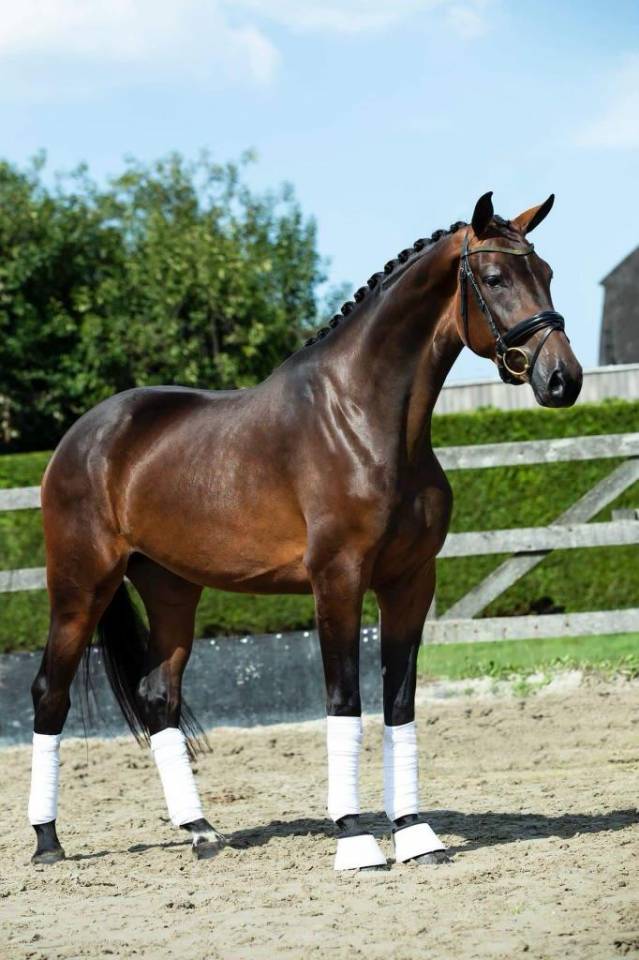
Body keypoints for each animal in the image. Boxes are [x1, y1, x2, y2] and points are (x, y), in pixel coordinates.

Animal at [27, 191, 582, 871]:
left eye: (547, 272)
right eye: (497, 277)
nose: (562, 379)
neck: (362, 419)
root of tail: (81, 437)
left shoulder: (410, 582)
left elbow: (400, 703)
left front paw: (415, 834)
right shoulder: (337, 581)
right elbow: (344, 701)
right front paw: (355, 839)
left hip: (172, 589)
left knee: (159, 692)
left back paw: (201, 832)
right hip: (81, 586)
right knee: (49, 692)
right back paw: (47, 842)